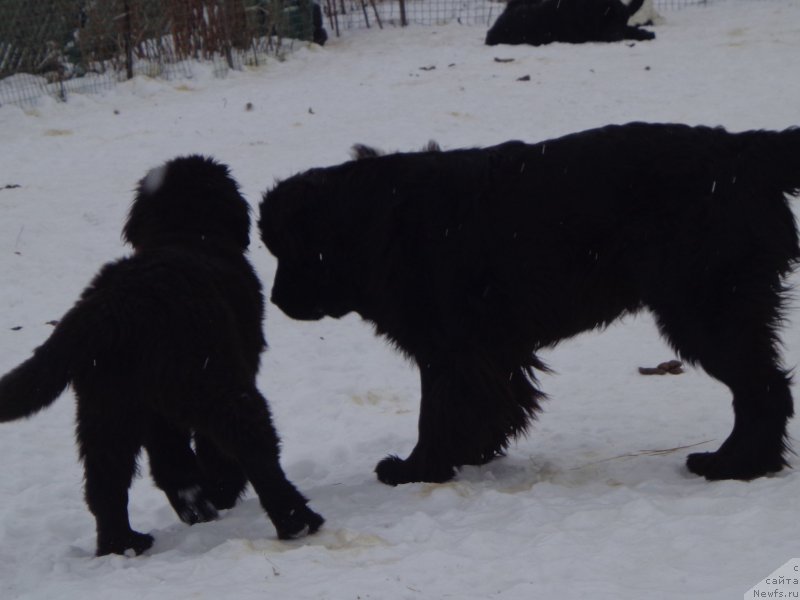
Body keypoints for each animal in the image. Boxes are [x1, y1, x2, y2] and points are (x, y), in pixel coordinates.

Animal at [1, 156, 324, 556]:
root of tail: (119, 304)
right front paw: (218, 494)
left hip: (105, 406)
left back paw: (123, 545)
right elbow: (205, 452)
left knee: (105, 480)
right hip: (212, 383)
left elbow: (169, 457)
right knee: (251, 444)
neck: (186, 232)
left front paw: (197, 502)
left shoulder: (153, 413)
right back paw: (297, 520)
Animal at [260, 123, 800, 488]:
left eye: (294, 250)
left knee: (764, 388)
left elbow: (437, 411)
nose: (276, 300)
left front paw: (418, 468)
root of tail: (742, 148)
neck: (378, 222)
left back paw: (735, 464)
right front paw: (472, 451)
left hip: (706, 309)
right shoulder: (491, 349)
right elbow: (495, 403)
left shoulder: (450, 348)